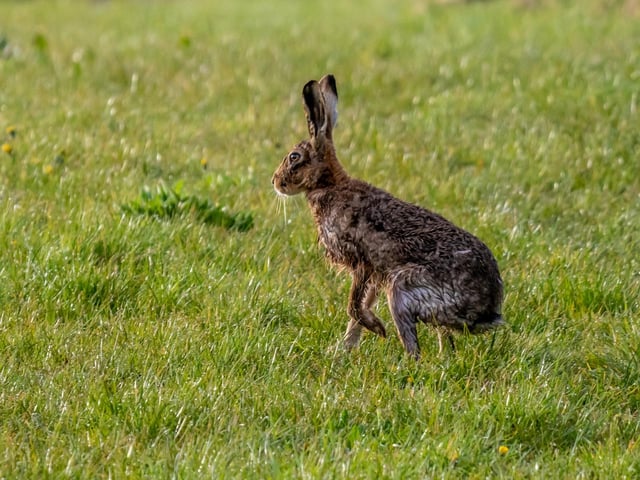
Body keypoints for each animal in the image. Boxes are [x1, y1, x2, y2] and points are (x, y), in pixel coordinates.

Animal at [271, 74, 504, 359]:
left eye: (294, 157)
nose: (275, 182)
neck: (328, 185)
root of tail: (486, 310)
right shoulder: (374, 272)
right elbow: (360, 308)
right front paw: (343, 350)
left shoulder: (361, 260)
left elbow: (353, 305)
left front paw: (376, 329)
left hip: (403, 290)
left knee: (414, 346)